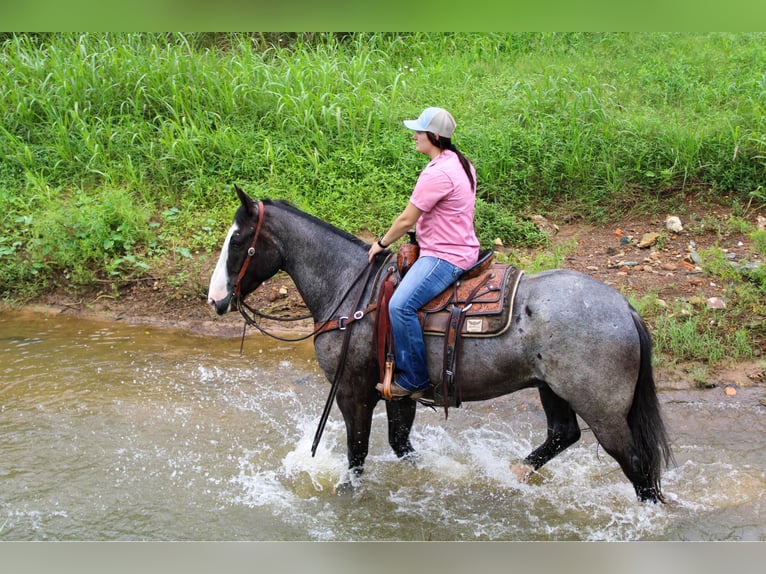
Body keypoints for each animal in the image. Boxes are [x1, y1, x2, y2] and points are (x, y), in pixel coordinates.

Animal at [206, 186, 672, 504]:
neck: (353, 290)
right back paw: (514, 472)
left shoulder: (353, 392)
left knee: (637, 467)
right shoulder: (397, 391)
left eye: (237, 240)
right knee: (563, 434)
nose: (215, 299)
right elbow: (401, 446)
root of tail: (624, 308)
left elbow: (357, 452)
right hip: (551, 389)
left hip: (603, 410)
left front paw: (347, 494)